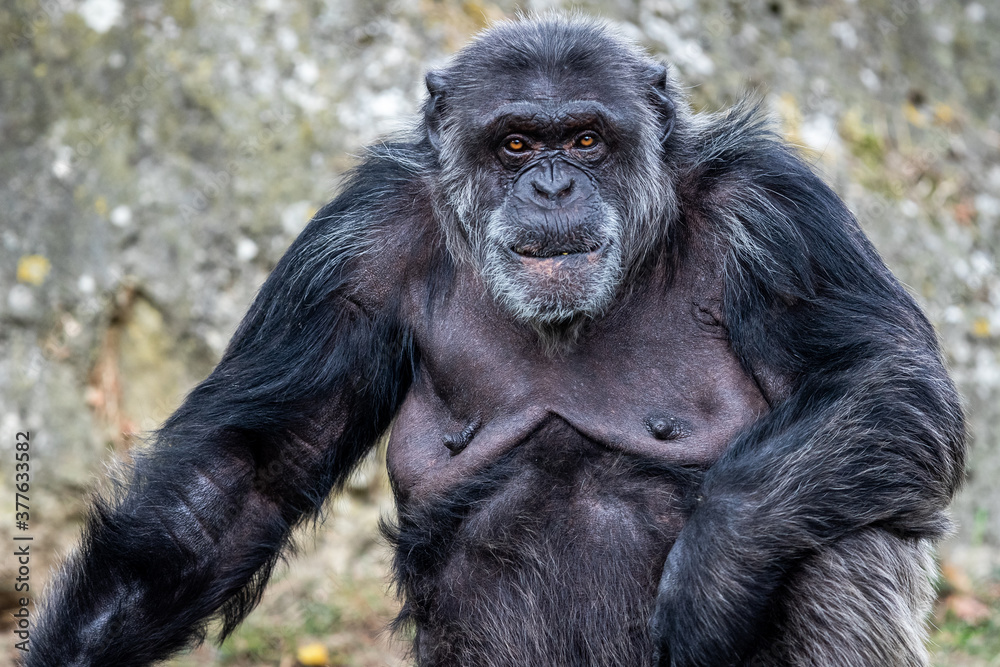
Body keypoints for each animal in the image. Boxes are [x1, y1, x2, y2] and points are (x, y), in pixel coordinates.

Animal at [33, 14, 968, 667]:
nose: (552, 185)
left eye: (585, 138)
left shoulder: (776, 214)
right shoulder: (349, 248)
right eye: (516, 142)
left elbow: (885, 372)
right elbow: (243, 469)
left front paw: (713, 573)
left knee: (843, 521)